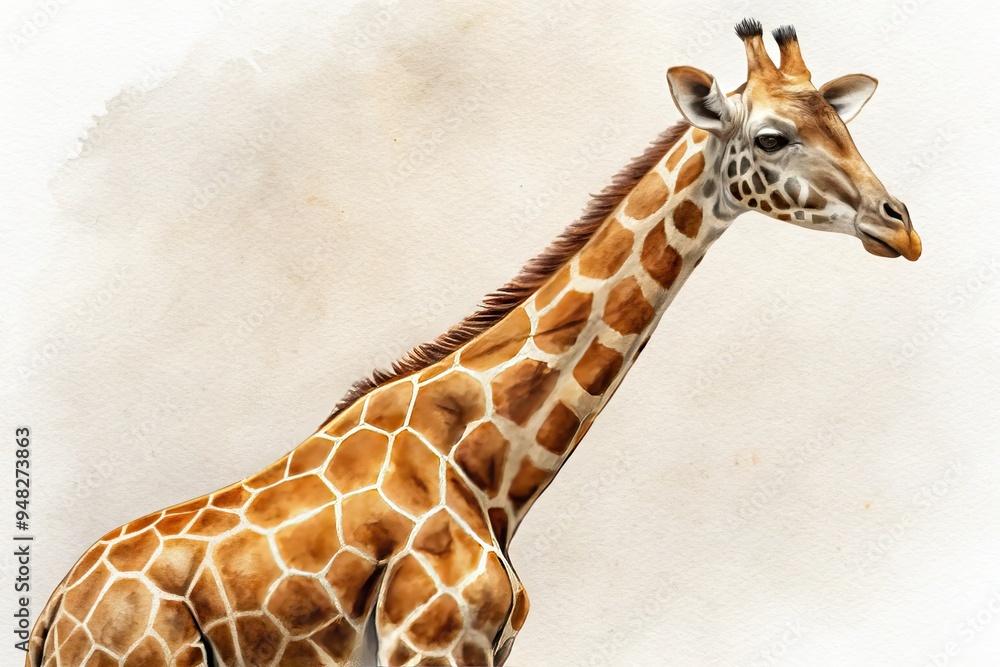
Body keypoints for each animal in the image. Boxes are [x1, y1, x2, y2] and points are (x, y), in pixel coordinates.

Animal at [28, 19, 920, 667]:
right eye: (771, 137)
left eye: (842, 122)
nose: (900, 227)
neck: (490, 465)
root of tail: (52, 612)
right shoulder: (431, 644)